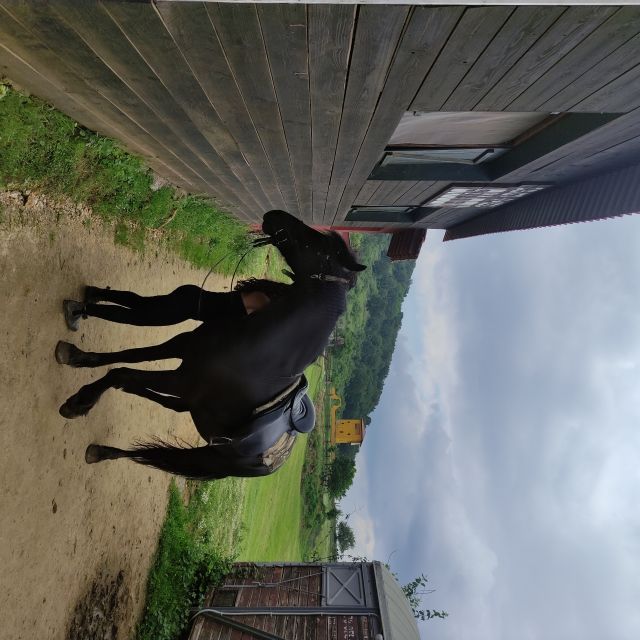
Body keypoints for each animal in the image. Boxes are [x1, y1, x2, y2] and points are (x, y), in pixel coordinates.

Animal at [55, 210, 366, 480]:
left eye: (319, 245)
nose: (274, 214)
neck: (258, 354)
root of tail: (275, 461)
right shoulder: (184, 349)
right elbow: (131, 355)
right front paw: (78, 356)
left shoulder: (181, 379)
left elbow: (120, 371)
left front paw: (81, 401)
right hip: (193, 406)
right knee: (167, 404)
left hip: (203, 453)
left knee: (150, 448)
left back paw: (102, 451)